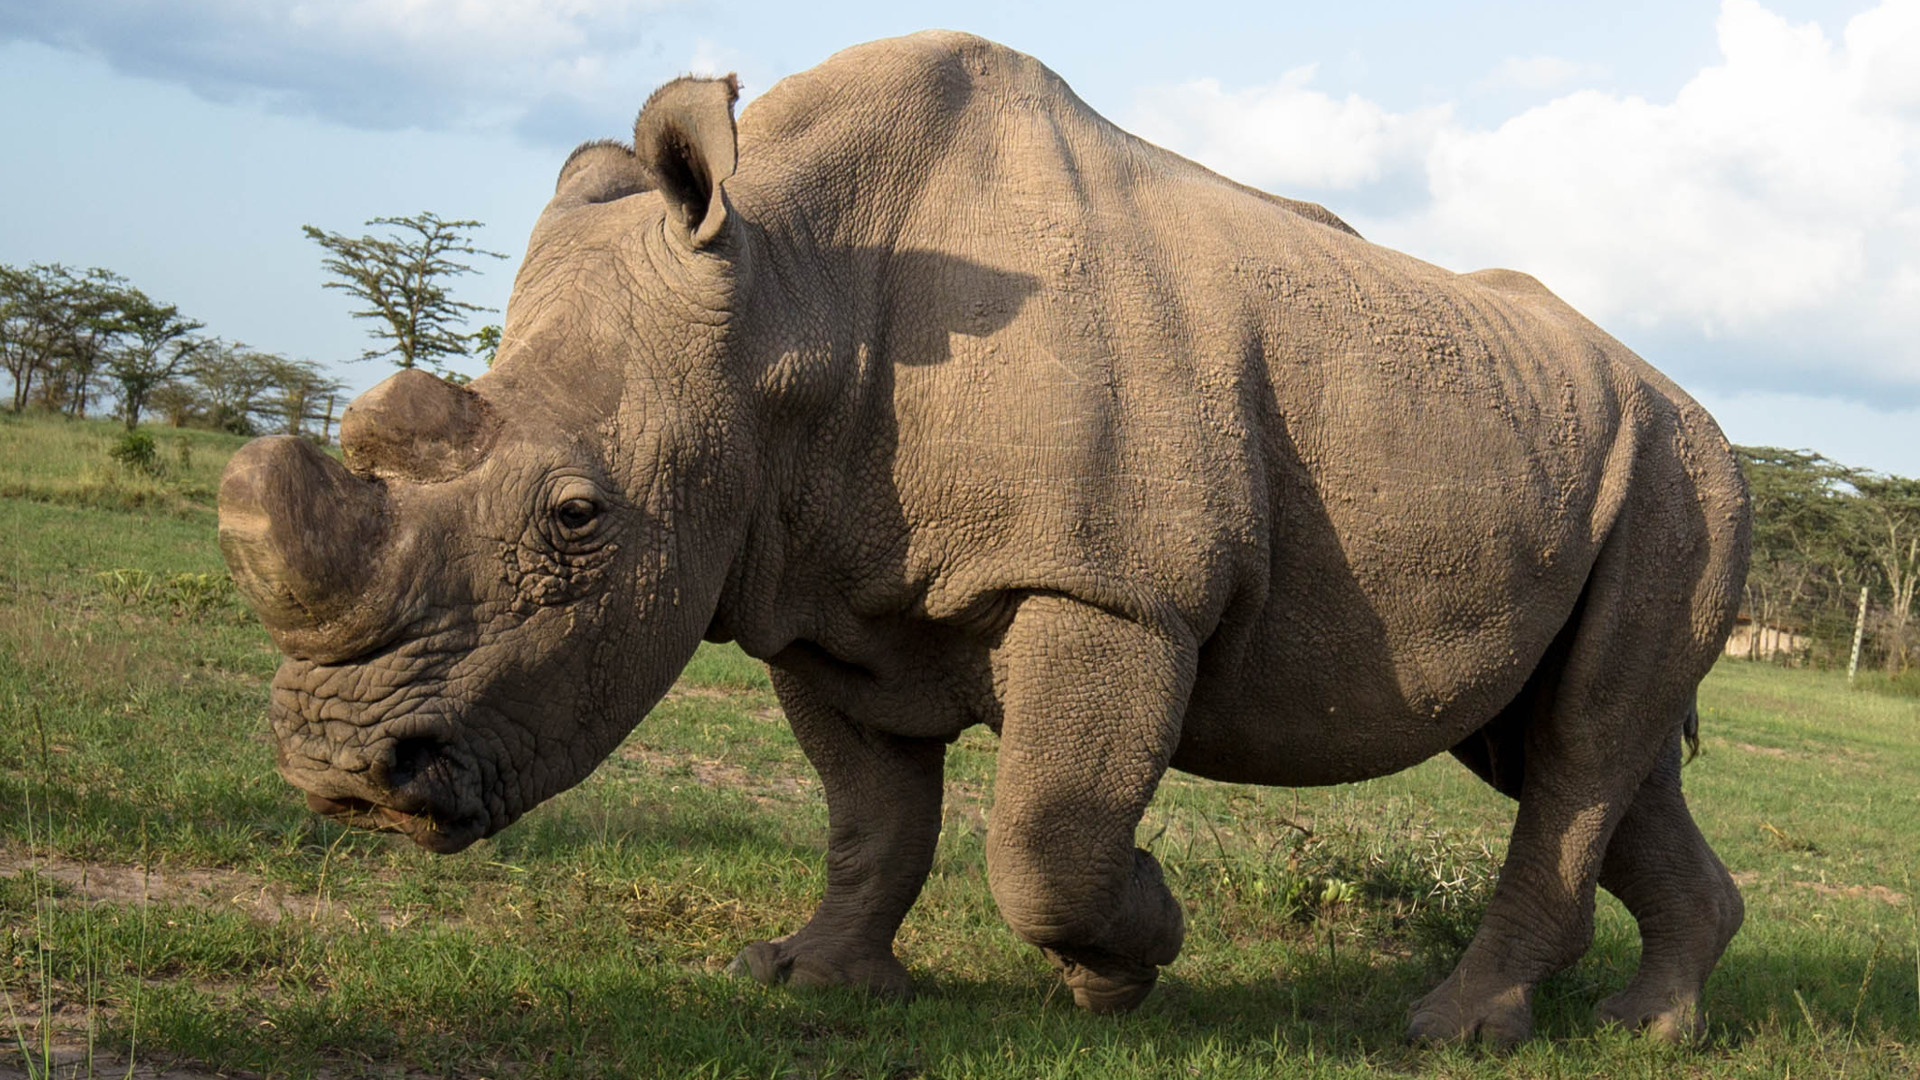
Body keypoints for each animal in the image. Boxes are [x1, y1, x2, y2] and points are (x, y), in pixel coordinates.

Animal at [217, 33, 1751, 1045]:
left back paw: (1457, 1032)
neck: (789, 300)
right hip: (1588, 457)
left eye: (578, 520)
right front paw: (808, 979)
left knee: (1577, 748)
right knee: (1559, 744)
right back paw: (1653, 1028)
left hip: (1686, 483)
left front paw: (1132, 955)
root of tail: (1706, 416)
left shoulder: (1112, 591)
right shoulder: (809, 590)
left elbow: (1044, 840)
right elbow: (872, 818)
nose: (342, 776)